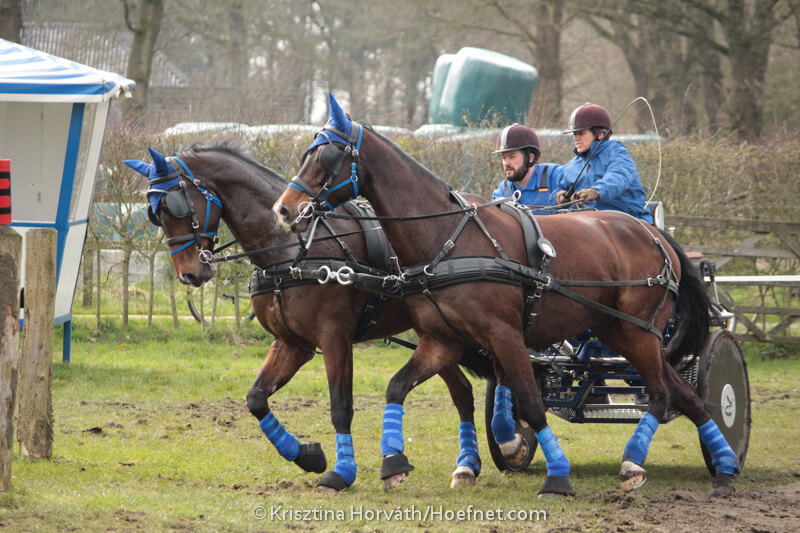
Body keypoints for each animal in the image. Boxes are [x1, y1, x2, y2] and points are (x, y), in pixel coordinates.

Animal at [122, 137, 488, 492]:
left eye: (173, 205)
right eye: (154, 214)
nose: (188, 274)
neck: (291, 251)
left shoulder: (334, 337)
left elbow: (340, 406)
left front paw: (341, 472)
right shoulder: (291, 343)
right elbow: (256, 398)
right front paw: (307, 456)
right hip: (438, 333)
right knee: (462, 392)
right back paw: (467, 466)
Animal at [272, 93, 740, 497]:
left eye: (326, 156)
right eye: (308, 153)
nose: (283, 209)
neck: (448, 238)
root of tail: (652, 231)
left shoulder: (505, 334)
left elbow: (530, 404)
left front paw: (556, 477)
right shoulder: (442, 340)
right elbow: (397, 387)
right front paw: (394, 464)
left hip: (639, 331)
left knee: (662, 393)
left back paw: (639, 463)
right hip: (621, 331)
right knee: (684, 393)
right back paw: (725, 466)